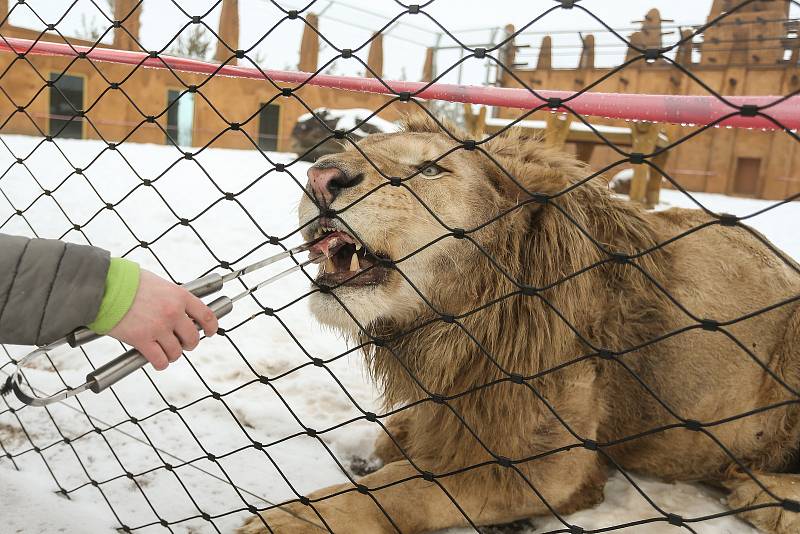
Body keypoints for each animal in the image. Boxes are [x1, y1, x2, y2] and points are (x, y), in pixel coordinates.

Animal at [241, 115, 800, 532]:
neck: (458, 317)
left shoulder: (547, 467)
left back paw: (764, 496)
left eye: (431, 170)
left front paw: (292, 520)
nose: (320, 177)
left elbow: (405, 489)